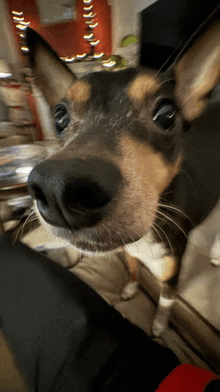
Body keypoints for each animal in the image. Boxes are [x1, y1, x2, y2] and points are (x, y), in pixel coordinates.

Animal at [26, 9, 220, 336]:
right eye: (59, 116)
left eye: (166, 114)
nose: (57, 190)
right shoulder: (129, 253)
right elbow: (132, 269)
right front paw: (130, 289)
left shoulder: (171, 276)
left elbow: (165, 303)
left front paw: (158, 327)